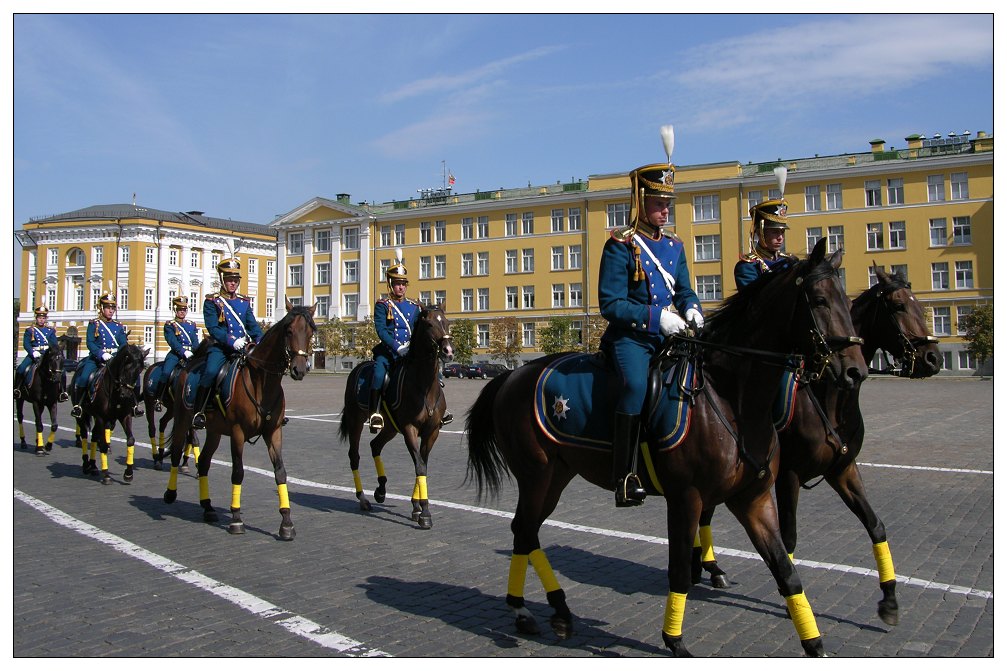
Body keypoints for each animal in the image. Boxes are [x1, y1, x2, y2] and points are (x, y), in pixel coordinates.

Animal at [69, 344, 148, 481]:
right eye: (125, 367)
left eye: (139, 370)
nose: (126, 395)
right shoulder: (101, 417)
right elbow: (104, 444)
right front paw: (106, 475)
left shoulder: (125, 416)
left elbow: (130, 440)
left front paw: (128, 473)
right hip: (83, 415)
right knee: (85, 435)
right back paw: (86, 465)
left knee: (94, 436)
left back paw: (93, 466)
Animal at [163, 298, 316, 540]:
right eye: (289, 330)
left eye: (310, 332)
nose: (299, 369)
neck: (262, 383)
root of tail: (188, 367)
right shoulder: (237, 432)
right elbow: (238, 472)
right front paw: (236, 519)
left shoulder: (273, 432)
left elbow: (280, 473)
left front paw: (286, 523)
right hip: (182, 420)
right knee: (177, 453)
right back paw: (170, 494)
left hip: (214, 431)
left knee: (204, 462)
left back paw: (207, 507)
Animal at [340, 306, 455, 531]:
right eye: (429, 324)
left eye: (446, 322)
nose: (448, 351)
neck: (424, 386)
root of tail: (357, 369)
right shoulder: (410, 428)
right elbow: (419, 465)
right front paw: (425, 512)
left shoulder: (432, 432)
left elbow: (423, 464)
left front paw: (416, 507)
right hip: (355, 420)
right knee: (354, 456)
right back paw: (363, 498)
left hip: (390, 428)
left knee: (375, 445)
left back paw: (381, 489)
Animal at [463, 237, 866, 656]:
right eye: (819, 300)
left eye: (846, 298)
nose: (856, 370)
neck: (730, 396)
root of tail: (513, 375)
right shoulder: (686, 497)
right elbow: (680, 571)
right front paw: (674, 639)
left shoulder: (752, 498)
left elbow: (786, 572)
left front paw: (814, 643)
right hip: (536, 474)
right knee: (524, 529)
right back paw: (527, 610)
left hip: (557, 474)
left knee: (526, 531)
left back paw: (551, 610)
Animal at [696, 263, 938, 624]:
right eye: (897, 306)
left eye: (920, 305)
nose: (933, 358)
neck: (830, 398)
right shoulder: (788, 476)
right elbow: (789, 536)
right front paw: (792, 603)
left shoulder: (843, 470)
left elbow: (876, 525)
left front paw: (889, 598)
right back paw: (708, 566)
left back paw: (708, 567)